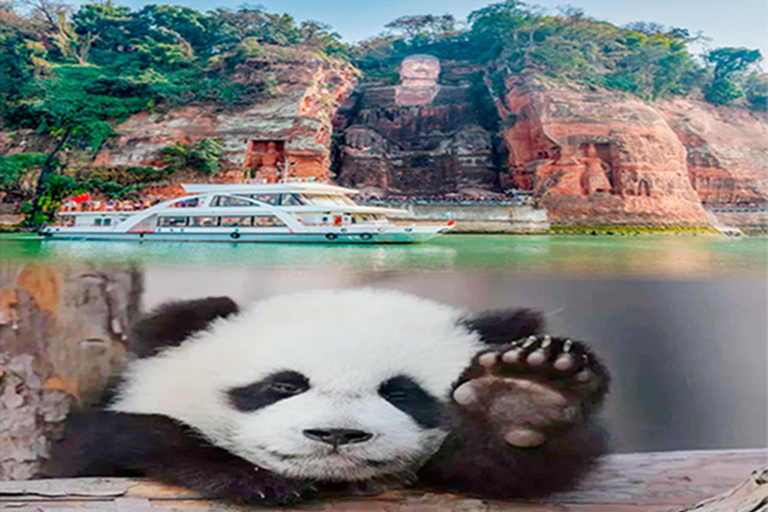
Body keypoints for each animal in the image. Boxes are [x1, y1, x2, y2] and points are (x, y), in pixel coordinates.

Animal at [49, 289, 610, 505]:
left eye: (401, 392)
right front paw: (254, 479)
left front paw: (520, 398)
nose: (336, 434)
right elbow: (105, 445)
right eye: (283, 385)